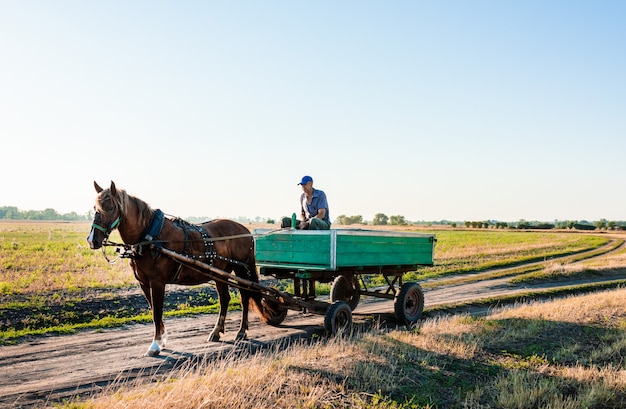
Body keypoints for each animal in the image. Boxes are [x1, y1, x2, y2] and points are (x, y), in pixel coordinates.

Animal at [85, 180, 270, 356]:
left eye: (110, 208)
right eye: (95, 208)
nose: (93, 240)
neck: (149, 236)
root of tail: (245, 231)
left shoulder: (157, 282)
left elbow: (157, 312)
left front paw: (155, 345)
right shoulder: (144, 283)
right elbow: (153, 309)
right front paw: (162, 339)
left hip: (241, 270)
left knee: (245, 297)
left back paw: (241, 331)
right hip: (220, 274)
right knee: (225, 299)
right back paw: (216, 332)